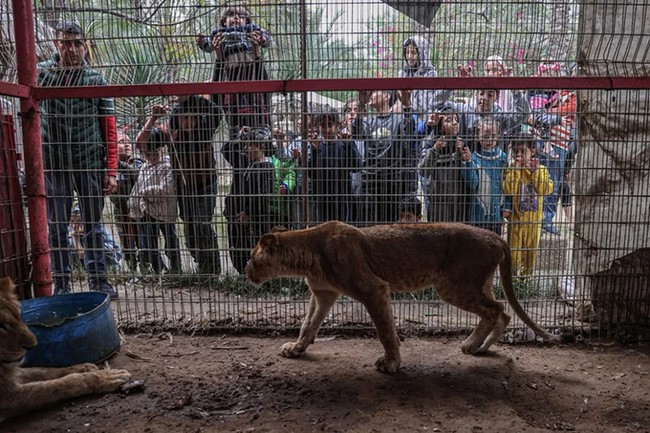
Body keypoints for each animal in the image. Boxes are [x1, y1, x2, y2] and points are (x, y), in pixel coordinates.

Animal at [0, 276, 132, 422]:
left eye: (19, 317)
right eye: (1, 326)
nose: (33, 345)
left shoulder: (14, 374)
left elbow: (43, 370)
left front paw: (85, 367)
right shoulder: (9, 397)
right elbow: (62, 384)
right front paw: (105, 377)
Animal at [244, 221, 556, 372]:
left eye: (251, 256)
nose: (245, 270)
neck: (307, 253)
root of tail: (497, 237)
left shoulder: (374, 289)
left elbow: (385, 332)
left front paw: (391, 364)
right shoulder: (324, 294)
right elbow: (308, 325)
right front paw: (296, 349)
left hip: (454, 286)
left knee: (498, 310)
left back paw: (475, 345)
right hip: (477, 284)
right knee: (501, 311)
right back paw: (479, 347)